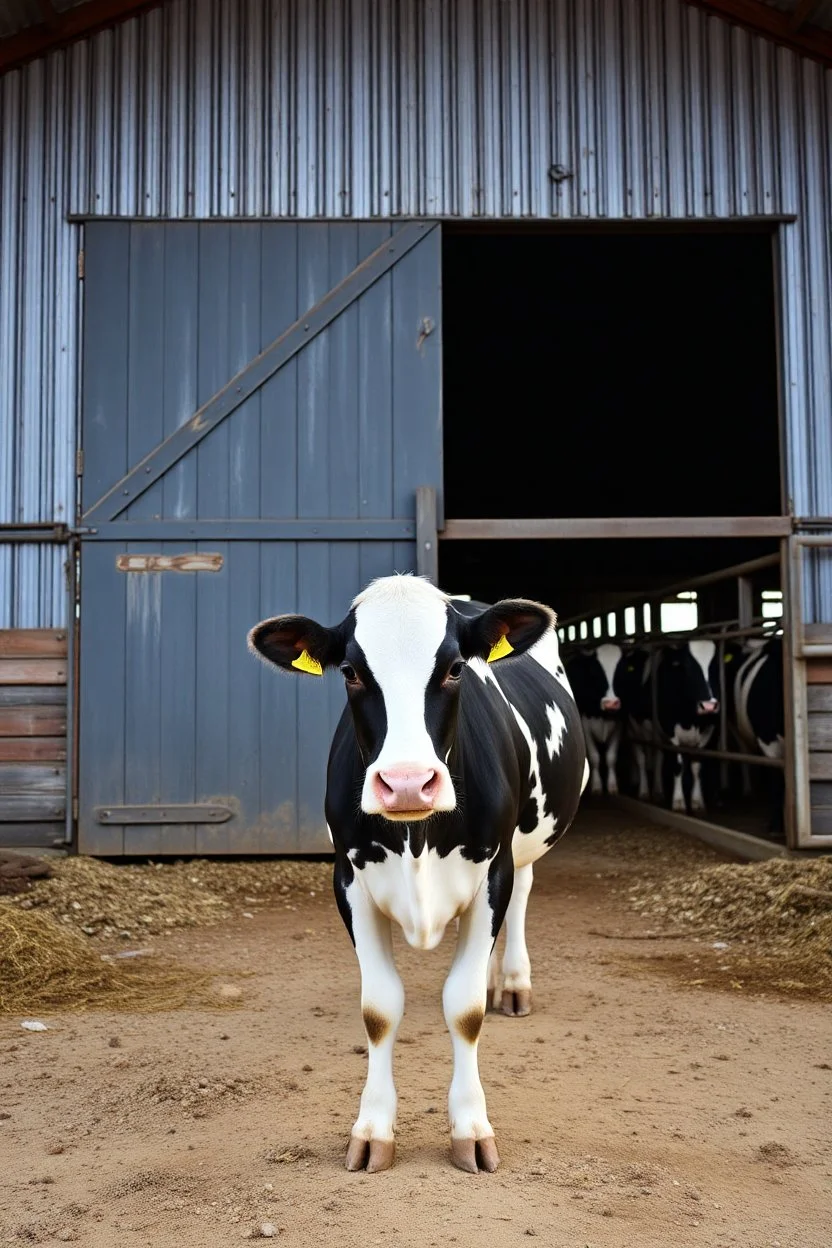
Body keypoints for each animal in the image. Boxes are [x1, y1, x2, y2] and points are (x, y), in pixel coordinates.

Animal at [246, 579, 586, 1173]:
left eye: (455, 668)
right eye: (350, 671)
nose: (406, 783)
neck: (418, 839)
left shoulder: (492, 871)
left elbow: (465, 1008)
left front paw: (471, 1129)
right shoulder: (348, 880)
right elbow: (380, 1009)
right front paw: (372, 1130)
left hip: (524, 846)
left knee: (523, 895)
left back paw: (513, 982)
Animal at [566, 648, 623, 793]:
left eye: (621, 670)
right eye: (595, 672)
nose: (611, 703)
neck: (602, 715)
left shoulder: (618, 724)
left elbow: (611, 757)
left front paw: (612, 786)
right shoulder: (585, 726)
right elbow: (594, 757)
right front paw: (597, 786)